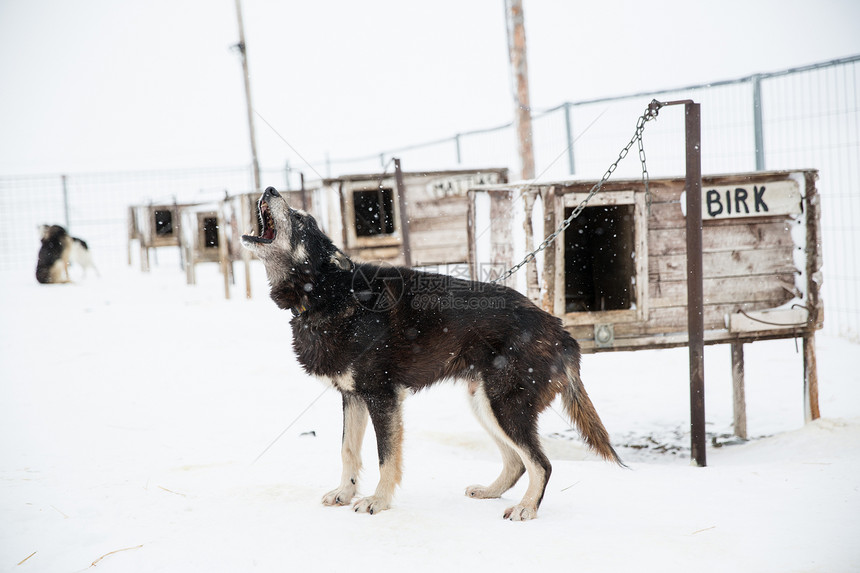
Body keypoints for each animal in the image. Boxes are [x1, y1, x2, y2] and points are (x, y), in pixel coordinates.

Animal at [242, 187, 624, 520]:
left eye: (301, 220)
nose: (271, 189)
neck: (329, 293)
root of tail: (560, 330)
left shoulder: (382, 397)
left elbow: (386, 457)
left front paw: (378, 501)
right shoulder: (352, 397)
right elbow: (348, 450)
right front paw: (344, 493)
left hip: (504, 406)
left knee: (540, 463)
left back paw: (526, 508)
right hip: (484, 404)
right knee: (517, 462)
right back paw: (491, 492)